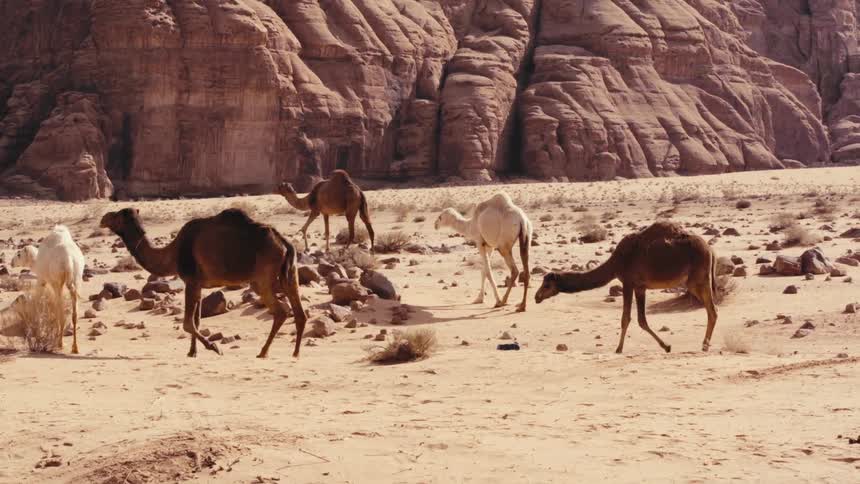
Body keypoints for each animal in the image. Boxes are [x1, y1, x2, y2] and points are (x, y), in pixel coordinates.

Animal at [100, 208, 306, 358]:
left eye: (117, 216)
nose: (103, 218)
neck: (172, 253)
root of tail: (284, 242)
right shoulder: (198, 284)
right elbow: (197, 321)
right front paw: (192, 352)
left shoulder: (190, 281)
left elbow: (187, 323)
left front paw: (214, 347)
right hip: (288, 273)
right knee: (299, 311)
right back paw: (295, 352)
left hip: (262, 277)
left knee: (281, 311)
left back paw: (263, 352)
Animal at [534, 221, 717, 353]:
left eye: (547, 285)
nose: (536, 297)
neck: (616, 262)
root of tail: (710, 249)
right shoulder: (640, 287)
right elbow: (641, 320)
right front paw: (666, 346)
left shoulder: (628, 283)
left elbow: (626, 318)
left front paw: (618, 349)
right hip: (696, 280)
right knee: (711, 310)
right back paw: (705, 344)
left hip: (697, 279)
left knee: (712, 310)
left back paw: (705, 345)